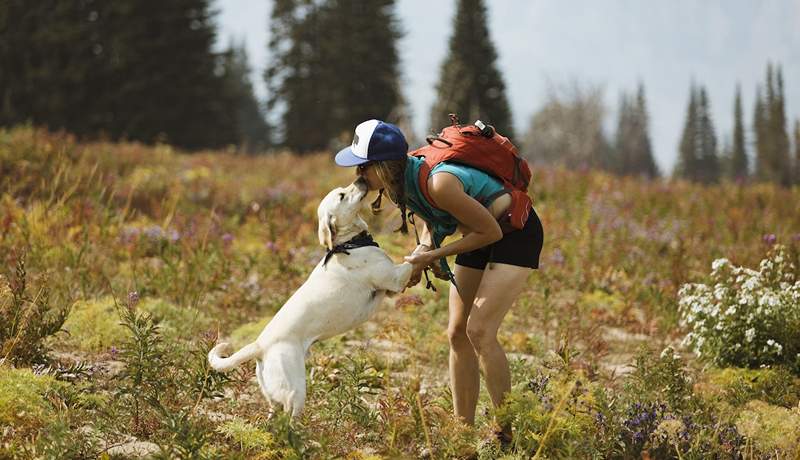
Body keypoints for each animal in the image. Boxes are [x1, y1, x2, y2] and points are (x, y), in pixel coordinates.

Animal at [208, 178, 412, 416]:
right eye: (342, 195)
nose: (360, 179)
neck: (349, 244)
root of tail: (259, 346)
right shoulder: (396, 279)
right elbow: (418, 256)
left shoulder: (390, 289)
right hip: (296, 393)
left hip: (273, 396)